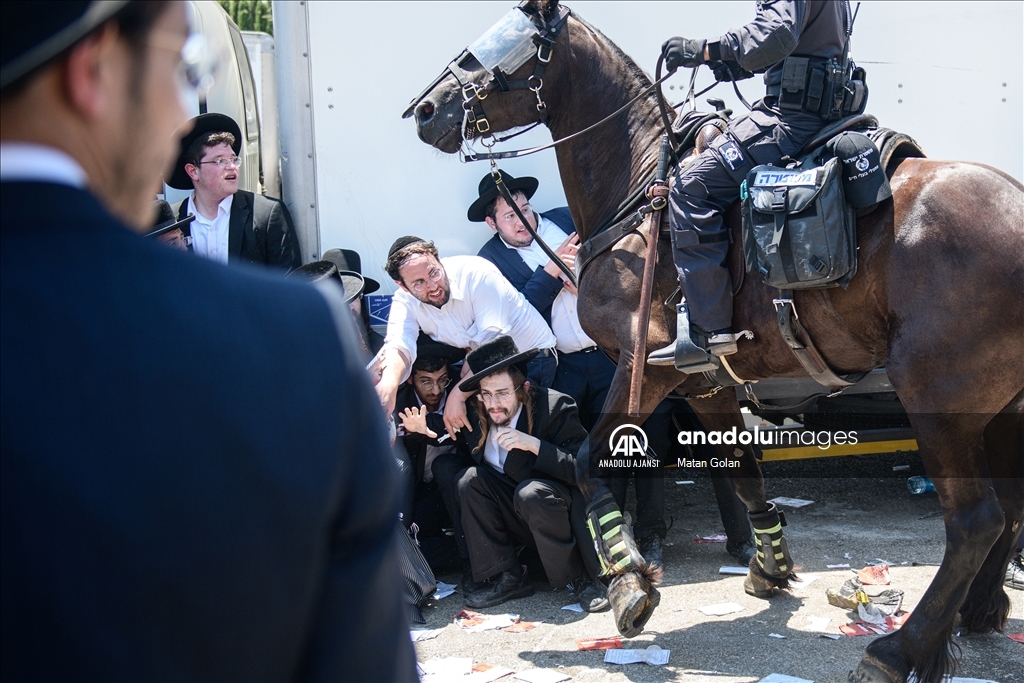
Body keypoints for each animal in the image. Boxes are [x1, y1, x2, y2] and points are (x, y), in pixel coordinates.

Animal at [407, 2, 1024, 679]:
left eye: (505, 46)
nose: (425, 111)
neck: (640, 191)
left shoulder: (646, 367)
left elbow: (588, 459)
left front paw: (628, 583)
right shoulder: (706, 383)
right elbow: (744, 471)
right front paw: (769, 566)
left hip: (939, 401)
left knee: (974, 521)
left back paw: (897, 648)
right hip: (1001, 408)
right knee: (1010, 504)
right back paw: (980, 608)